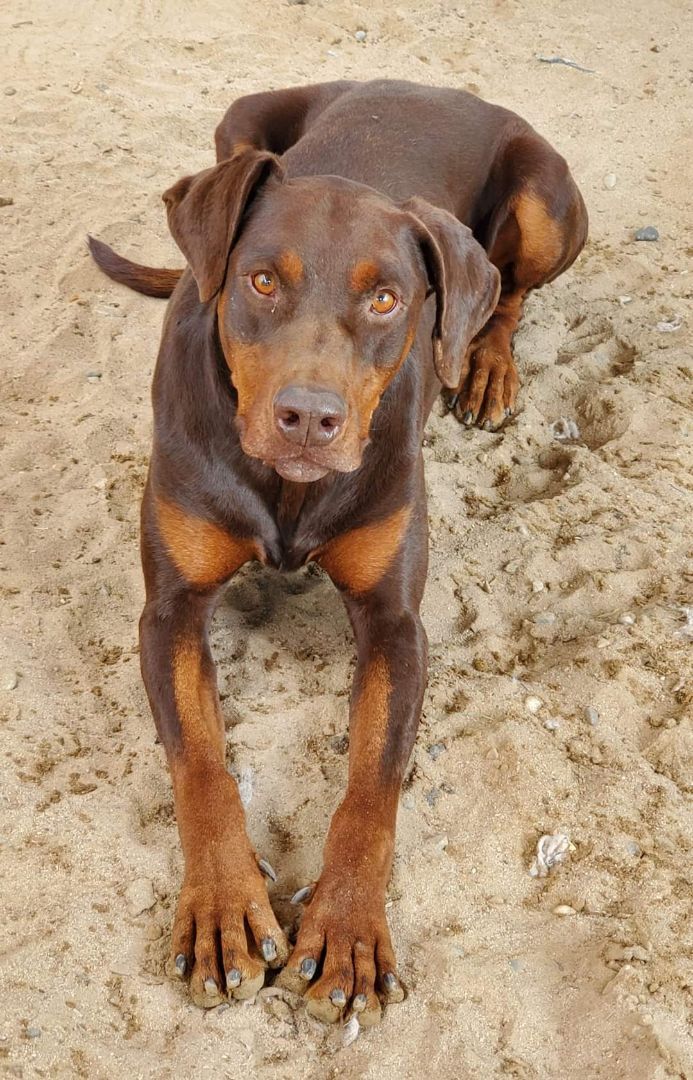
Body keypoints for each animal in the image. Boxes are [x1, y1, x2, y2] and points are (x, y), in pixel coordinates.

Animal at [89, 79, 587, 1023]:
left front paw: (349, 934)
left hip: (545, 207)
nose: (308, 418)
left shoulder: (396, 623)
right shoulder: (170, 611)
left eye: (386, 299)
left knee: (504, 294)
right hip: (237, 122)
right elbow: (200, 764)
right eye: (261, 280)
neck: (288, 490)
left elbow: (371, 787)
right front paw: (225, 910)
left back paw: (484, 364)